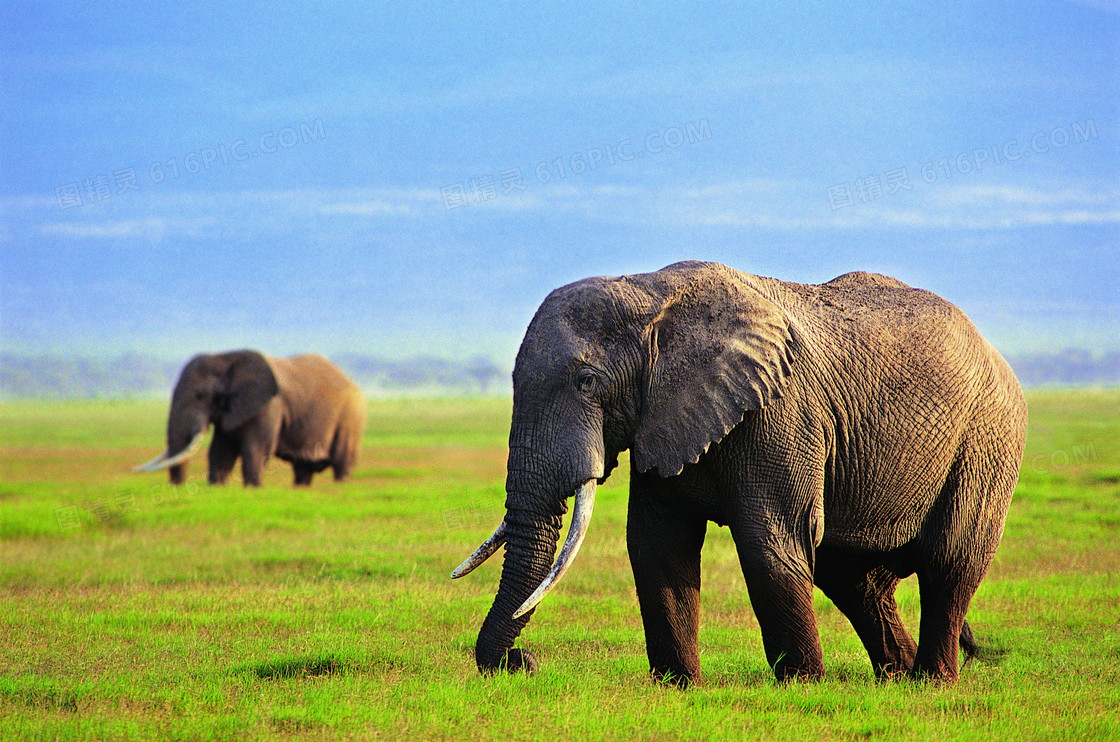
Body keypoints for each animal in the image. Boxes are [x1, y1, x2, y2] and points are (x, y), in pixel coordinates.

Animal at [133, 349, 365, 488]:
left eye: (200, 396)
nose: (177, 487)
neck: (226, 358)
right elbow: (220, 451)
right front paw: (217, 488)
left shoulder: (269, 406)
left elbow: (256, 448)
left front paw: (253, 489)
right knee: (303, 468)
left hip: (350, 416)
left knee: (341, 462)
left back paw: (341, 485)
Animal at [452, 264, 1025, 690]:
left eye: (587, 382)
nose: (523, 662)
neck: (649, 293)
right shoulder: (663, 416)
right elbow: (657, 544)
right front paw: (678, 686)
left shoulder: (780, 414)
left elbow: (768, 542)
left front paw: (802, 686)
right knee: (854, 579)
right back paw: (898, 678)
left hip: (987, 440)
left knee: (951, 560)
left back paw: (932, 682)